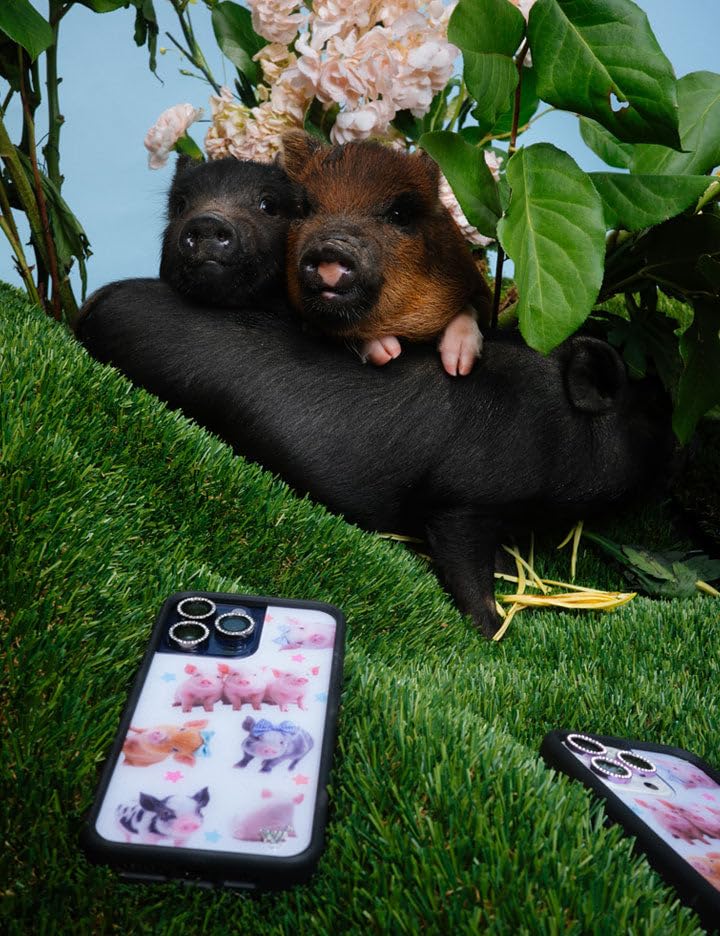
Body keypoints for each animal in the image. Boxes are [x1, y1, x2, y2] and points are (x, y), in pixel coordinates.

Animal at [78, 273, 672, 638]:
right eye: (652, 415)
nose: (678, 443)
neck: (550, 428)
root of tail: (94, 304)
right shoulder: (460, 499)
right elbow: (463, 563)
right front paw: (495, 629)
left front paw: (509, 571)